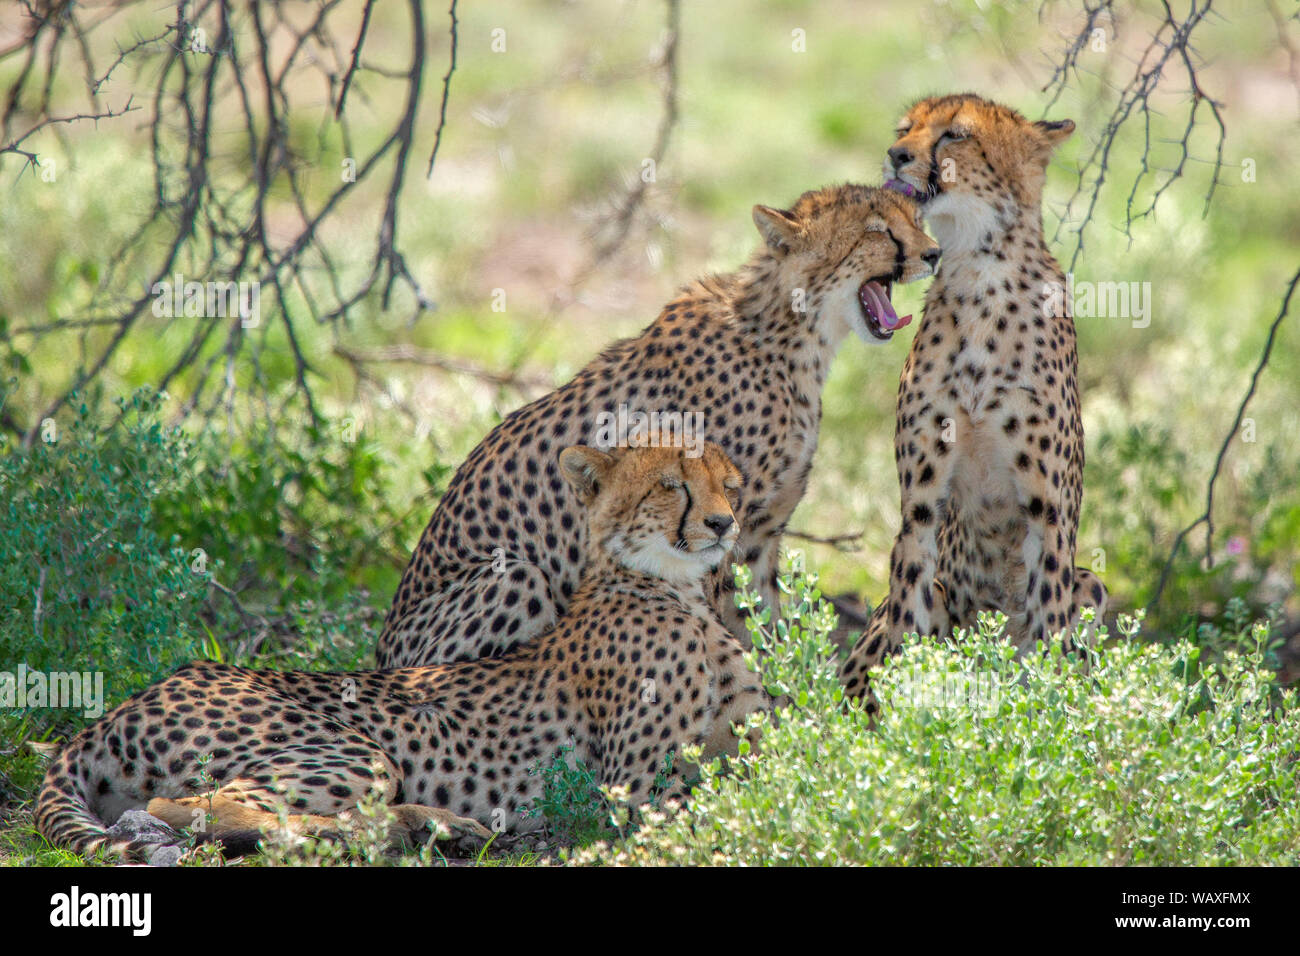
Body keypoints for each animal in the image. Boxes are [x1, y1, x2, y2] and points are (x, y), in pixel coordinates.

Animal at [35, 442, 764, 858]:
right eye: (671, 483)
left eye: (729, 482)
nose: (724, 522)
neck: (674, 585)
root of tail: (114, 711)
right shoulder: (631, 791)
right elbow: (710, 807)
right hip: (354, 751)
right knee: (187, 810)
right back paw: (421, 828)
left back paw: (437, 827)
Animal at [379, 183, 941, 671]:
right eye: (877, 231)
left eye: (916, 221)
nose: (934, 254)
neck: (793, 334)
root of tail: (382, 651)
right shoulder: (716, 530)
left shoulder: (758, 535)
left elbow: (769, 629)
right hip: (514, 576)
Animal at [842, 93, 1107, 702]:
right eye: (905, 128)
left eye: (955, 135)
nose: (895, 154)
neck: (980, 272)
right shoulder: (920, 504)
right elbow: (904, 619)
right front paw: (898, 715)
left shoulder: (1049, 514)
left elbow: (1050, 630)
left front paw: (1050, 713)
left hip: (1093, 582)